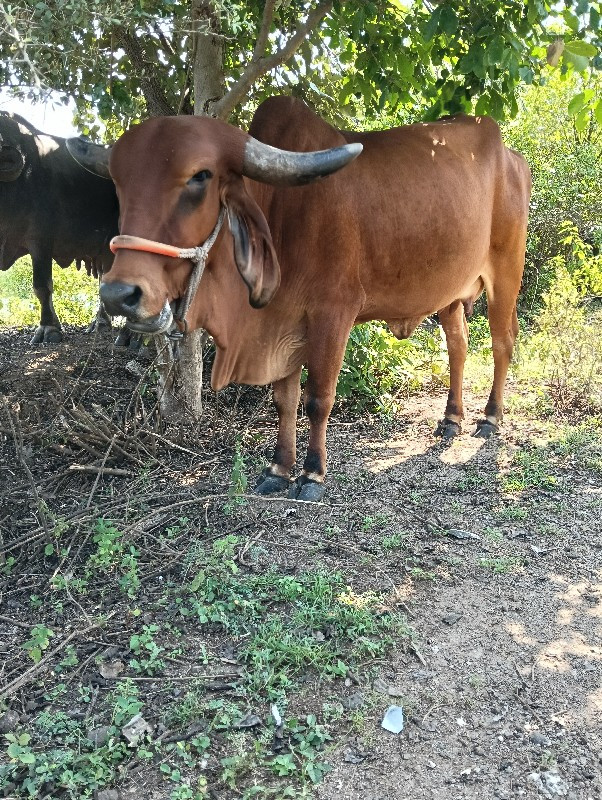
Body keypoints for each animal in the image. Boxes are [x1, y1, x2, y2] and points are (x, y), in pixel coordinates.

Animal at [70, 98, 528, 500]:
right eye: (119, 184)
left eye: (200, 177)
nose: (119, 294)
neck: (282, 210)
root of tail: (511, 155)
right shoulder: (282, 323)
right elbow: (284, 401)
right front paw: (278, 468)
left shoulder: (333, 315)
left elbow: (318, 399)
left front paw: (312, 473)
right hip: (450, 292)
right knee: (459, 344)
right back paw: (451, 419)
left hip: (506, 271)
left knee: (503, 342)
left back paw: (490, 417)